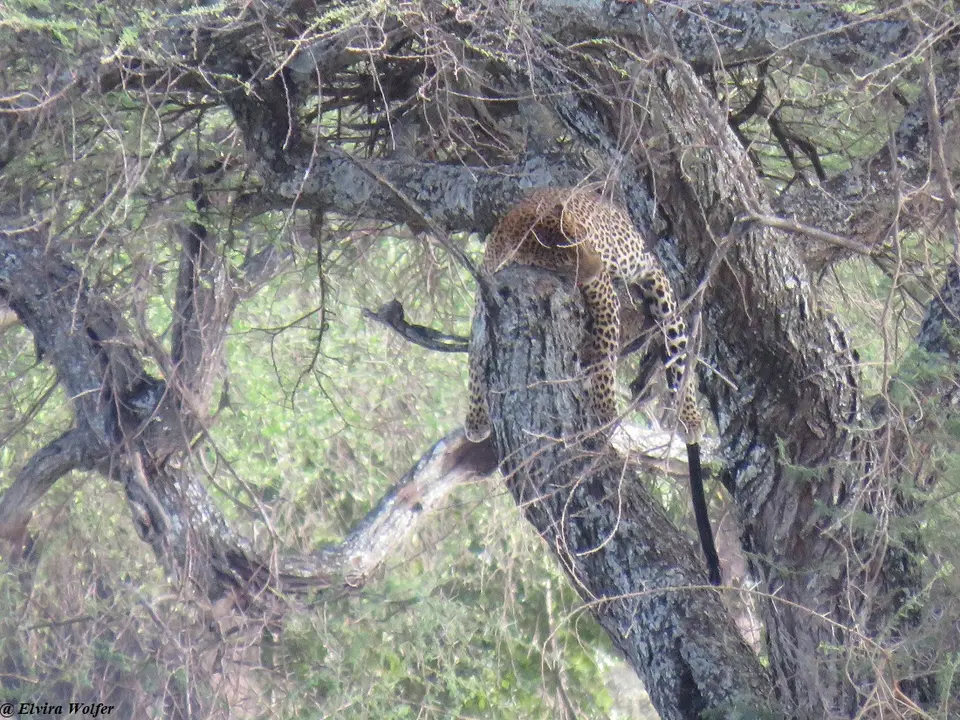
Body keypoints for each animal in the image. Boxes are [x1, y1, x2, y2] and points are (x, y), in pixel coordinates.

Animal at [464, 187, 703, 446]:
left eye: (584, 239)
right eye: (564, 261)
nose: (599, 269)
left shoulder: (605, 295)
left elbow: (603, 356)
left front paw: (605, 412)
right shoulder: (485, 302)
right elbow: (475, 356)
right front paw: (476, 418)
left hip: (659, 289)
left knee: (680, 352)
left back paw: (690, 417)